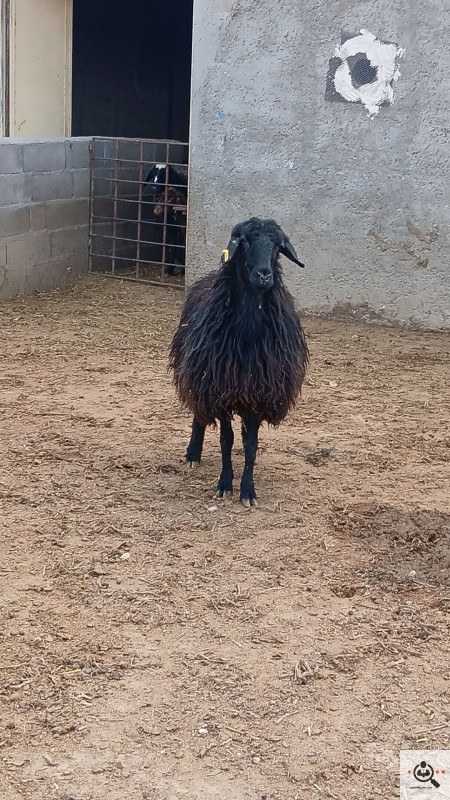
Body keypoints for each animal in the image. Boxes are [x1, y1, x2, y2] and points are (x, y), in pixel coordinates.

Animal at [169, 217, 309, 507]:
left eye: (278, 246)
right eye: (243, 241)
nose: (264, 275)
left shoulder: (257, 393)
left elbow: (250, 445)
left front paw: (248, 490)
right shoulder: (219, 390)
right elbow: (227, 440)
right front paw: (224, 483)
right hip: (199, 375)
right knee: (199, 414)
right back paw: (193, 453)